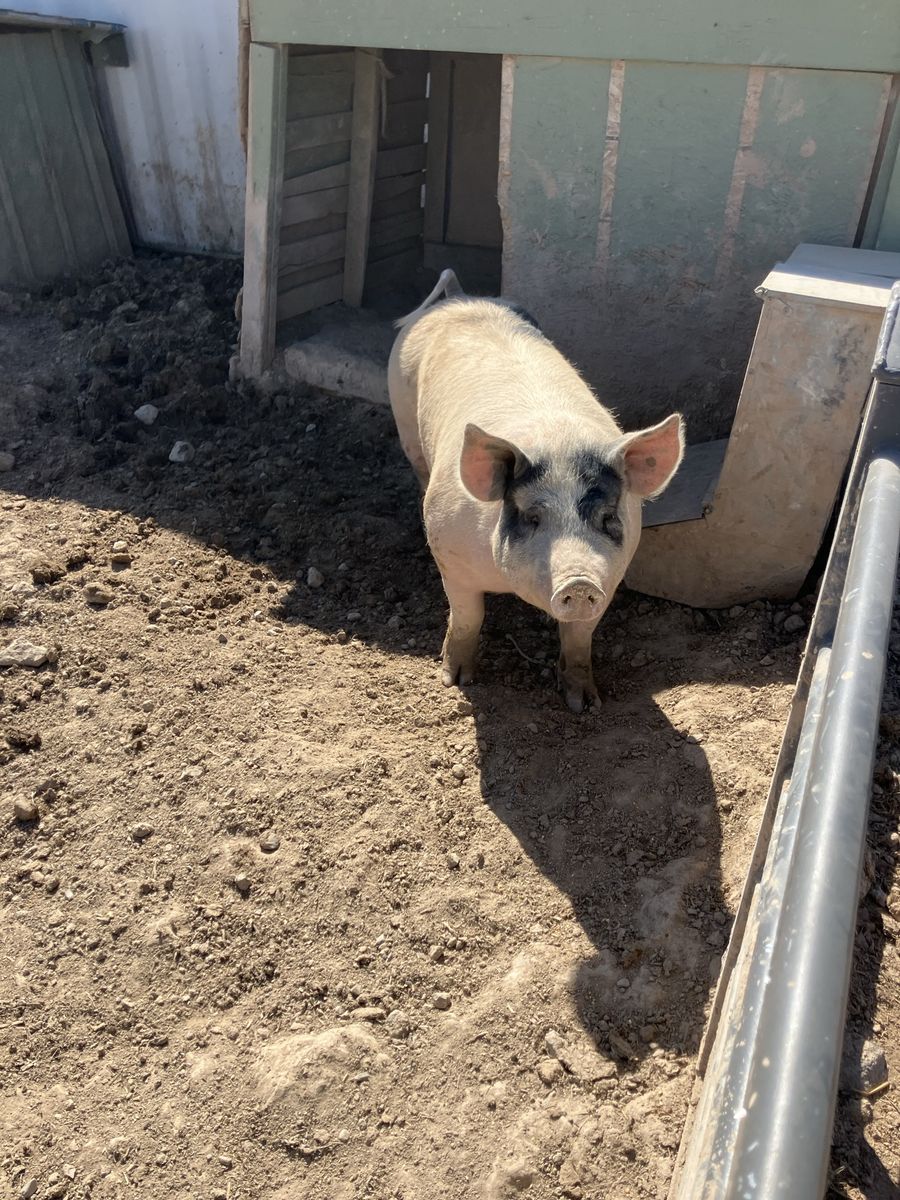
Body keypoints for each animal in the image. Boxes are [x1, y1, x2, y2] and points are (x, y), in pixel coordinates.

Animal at [387, 269, 684, 712]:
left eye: (605, 517)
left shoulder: (611, 575)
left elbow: (579, 639)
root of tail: (460, 296)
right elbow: (467, 617)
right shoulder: (452, 556)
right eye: (532, 516)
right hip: (403, 415)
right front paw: (456, 681)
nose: (579, 583)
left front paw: (584, 704)